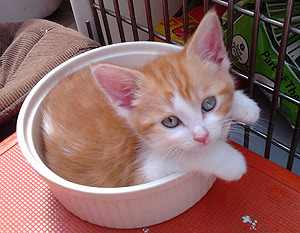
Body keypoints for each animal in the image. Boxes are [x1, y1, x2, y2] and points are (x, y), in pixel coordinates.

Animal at [41, 11, 258, 189]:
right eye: (170, 121)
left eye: (209, 103)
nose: (202, 136)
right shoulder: (141, 173)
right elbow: (184, 153)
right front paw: (231, 161)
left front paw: (246, 107)